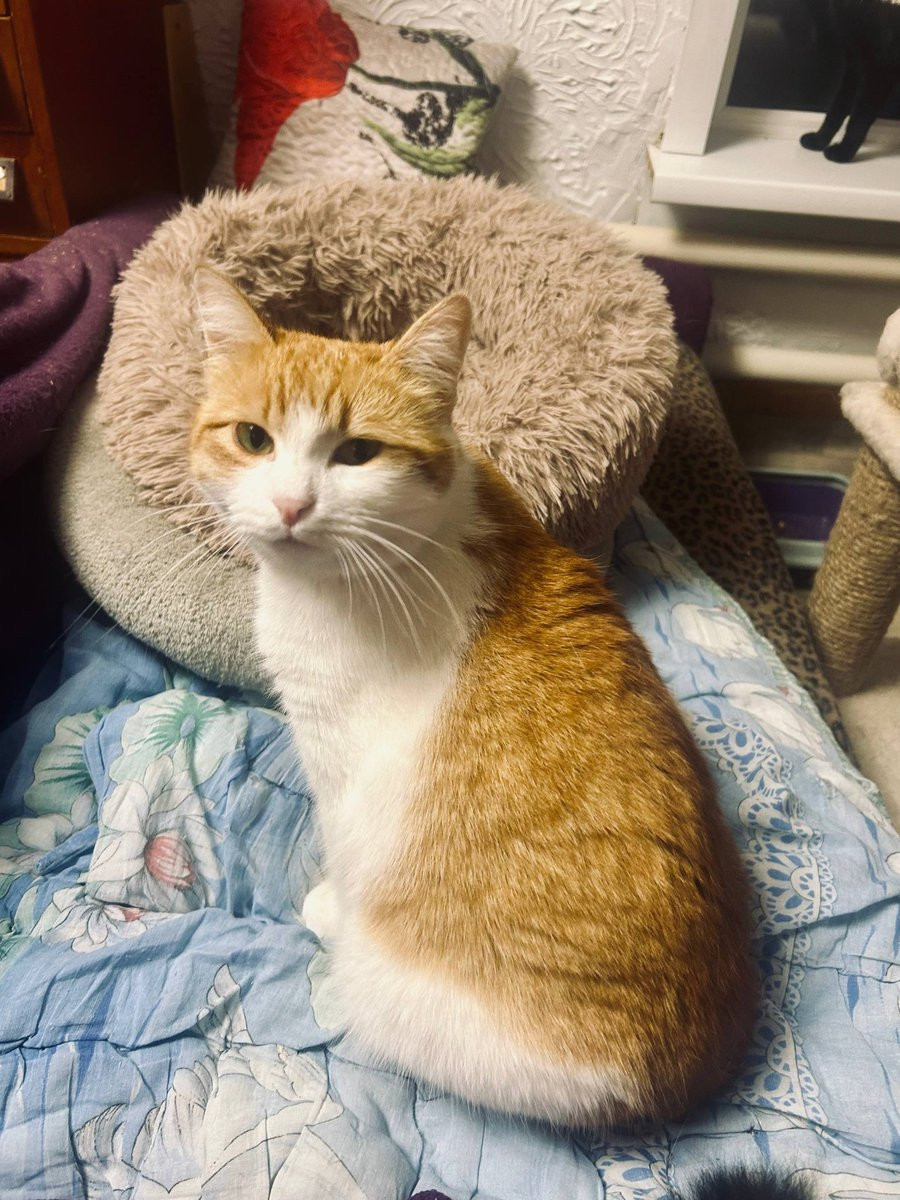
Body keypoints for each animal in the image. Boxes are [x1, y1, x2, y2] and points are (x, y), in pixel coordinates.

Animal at [188, 268, 759, 1135]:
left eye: (357, 452)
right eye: (254, 438)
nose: (290, 506)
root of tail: (673, 1074)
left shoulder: (341, 764)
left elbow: (344, 848)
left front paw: (329, 902)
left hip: (387, 994)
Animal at [800, 0, 900, 162]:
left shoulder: (880, 69)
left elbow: (859, 117)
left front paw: (844, 152)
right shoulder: (853, 65)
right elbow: (837, 107)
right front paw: (819, 140)